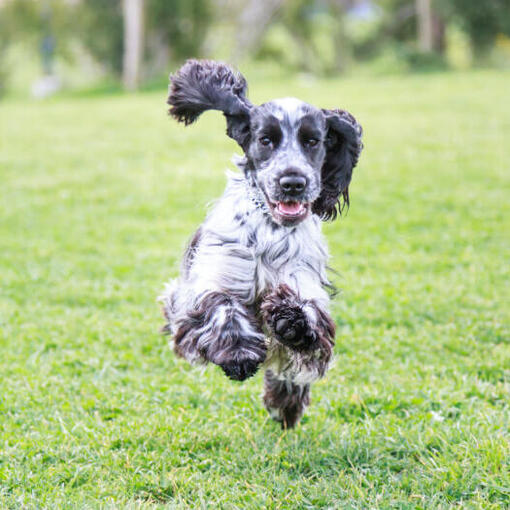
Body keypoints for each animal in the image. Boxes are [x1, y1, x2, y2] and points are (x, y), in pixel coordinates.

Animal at [160, 57, 362, 428]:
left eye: (313, 141)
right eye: (266, 139)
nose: (293, 182)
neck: (270, 227)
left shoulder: (301, 276)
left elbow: (309, 317)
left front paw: (292, 321)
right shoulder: (216, 274)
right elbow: (221, 307)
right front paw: (238, 355)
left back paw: (285, 405)